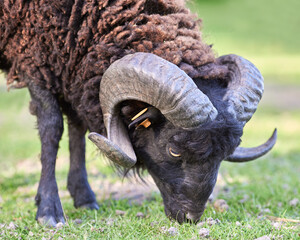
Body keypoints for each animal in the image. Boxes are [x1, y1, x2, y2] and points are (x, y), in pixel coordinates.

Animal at [0, 0, 276, 226]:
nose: (190, 218)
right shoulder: (34, 59)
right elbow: (52, 128)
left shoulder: (69, 68)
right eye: (173, 150)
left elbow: (77, 129)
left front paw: (84, 197)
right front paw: (49, 210)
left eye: (225, 153)